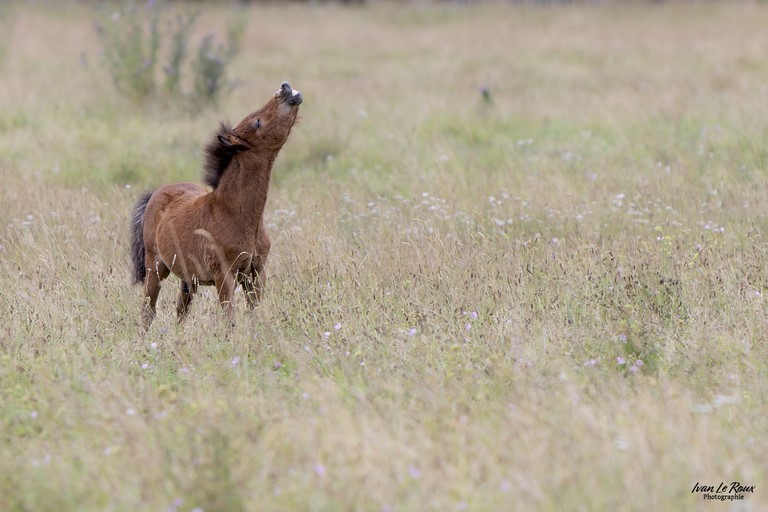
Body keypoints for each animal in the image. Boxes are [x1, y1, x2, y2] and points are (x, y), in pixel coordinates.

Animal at [129, 81, 302, 332]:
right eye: (257, 122)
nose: (285, 88)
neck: (237, 214)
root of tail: (157, 192)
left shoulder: (256, 273)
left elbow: (254, 315)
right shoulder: (224, 276)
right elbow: (229, 320)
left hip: (188, 279)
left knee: (180, 312)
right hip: (155, 267)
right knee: (148, 311)